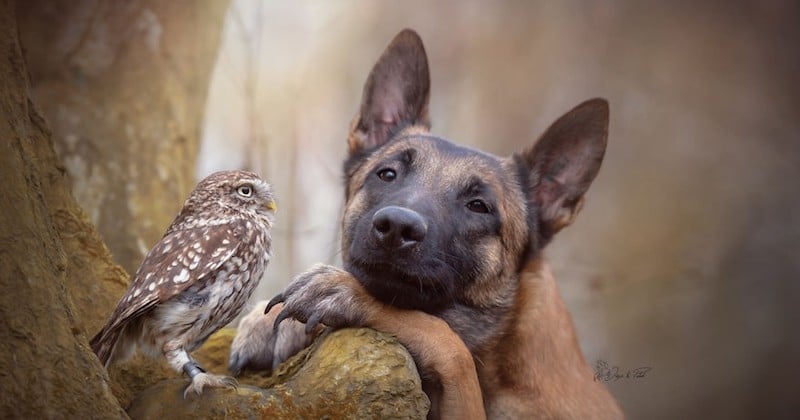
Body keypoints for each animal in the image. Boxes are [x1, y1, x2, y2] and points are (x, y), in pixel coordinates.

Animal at [228, 27, 620, 418]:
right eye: (387, 174)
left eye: (479, 206)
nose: (396, 228)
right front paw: (269, 322)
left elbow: (441, 337)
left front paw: (347, 293)